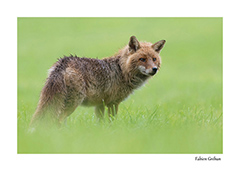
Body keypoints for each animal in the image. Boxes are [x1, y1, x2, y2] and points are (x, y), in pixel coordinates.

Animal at [29, 36, 165, 127]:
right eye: (142, 59)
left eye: (154, 59)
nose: (154, 69)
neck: (121, 70)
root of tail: (63, 62)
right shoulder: (113, 103)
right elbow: (111, 121)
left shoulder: (100, 104)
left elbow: (100, 123)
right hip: (72, 104)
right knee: (58, 120)